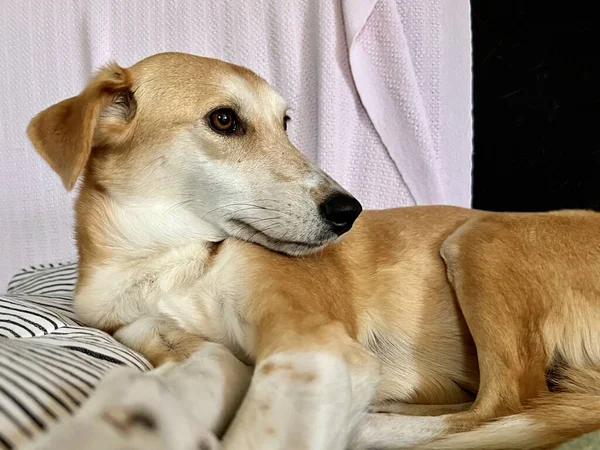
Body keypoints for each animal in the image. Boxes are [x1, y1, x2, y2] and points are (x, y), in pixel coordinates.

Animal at [25, 51, 600, 446]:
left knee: (508, 405)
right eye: (224, 120)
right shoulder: (164, 336)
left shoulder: (313, 345)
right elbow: (189, 373)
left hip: (476, 239)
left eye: (284, 122)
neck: (166, 260)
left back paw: (372, 423)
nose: (350, 211)